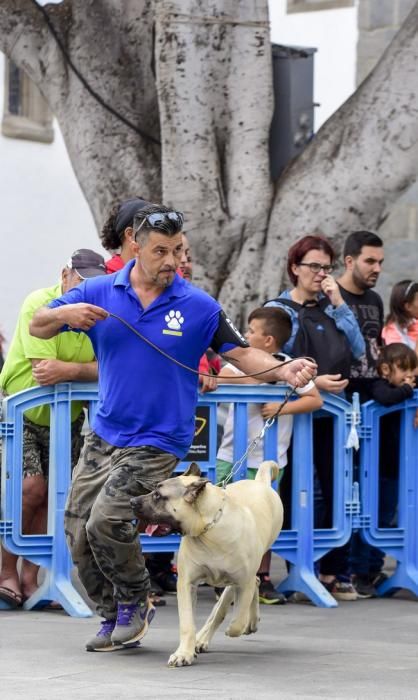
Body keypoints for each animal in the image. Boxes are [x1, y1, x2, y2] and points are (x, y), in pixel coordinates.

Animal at [131, 460, 284, 668]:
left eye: (158, 496)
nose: (132, 501)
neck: (208, 530)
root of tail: (260, 482)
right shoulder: (186, 583)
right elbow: (187, 623)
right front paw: (184, 653)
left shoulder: (242, 582)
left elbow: (236, 620)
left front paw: (238, 626)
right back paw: (202, 639)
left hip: (240, 578)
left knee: (239, 596)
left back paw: (247, 622)